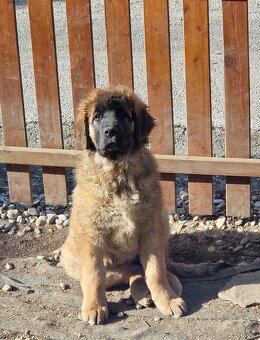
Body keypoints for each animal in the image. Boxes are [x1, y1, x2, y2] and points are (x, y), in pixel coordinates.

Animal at [61, 85, 225, 324]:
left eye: (122, 114)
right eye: (97, 117)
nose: (110, 131)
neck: (119, 172)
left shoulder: (151, 229)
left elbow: (155, 272)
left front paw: (167, 300)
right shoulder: (92, 235)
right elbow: (94, 275)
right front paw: (94, 307)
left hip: (163, 223)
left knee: (157, 271)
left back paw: (149, 293)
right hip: (90, 265)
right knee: (127, 272)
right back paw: (140, 294)